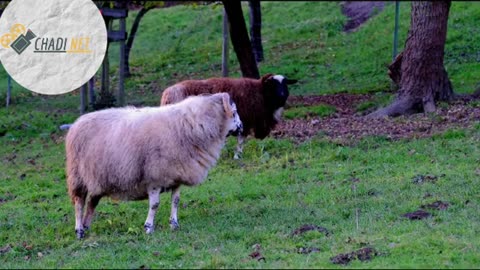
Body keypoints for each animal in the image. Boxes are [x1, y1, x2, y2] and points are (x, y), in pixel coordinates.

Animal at [65, 92, 242, 238]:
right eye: (234, 112)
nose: (242, 128)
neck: (193, 125)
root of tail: (77, 122)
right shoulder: (155, 177)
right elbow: (155, 204)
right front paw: (148, 227)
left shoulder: (176, 176)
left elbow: (175, 201)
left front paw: (174, 224)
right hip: (77, 176)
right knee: (79, 203)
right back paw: (79, 230)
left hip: (97, 179)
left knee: (91, 202)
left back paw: (86, 226)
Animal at [160, 73, 296, 159]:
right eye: (273, 85)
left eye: (285, 84)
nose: (283, 96)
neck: (260, 93)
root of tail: (167, 94)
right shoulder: (244, 121)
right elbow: (240, 140)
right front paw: (237, 156)